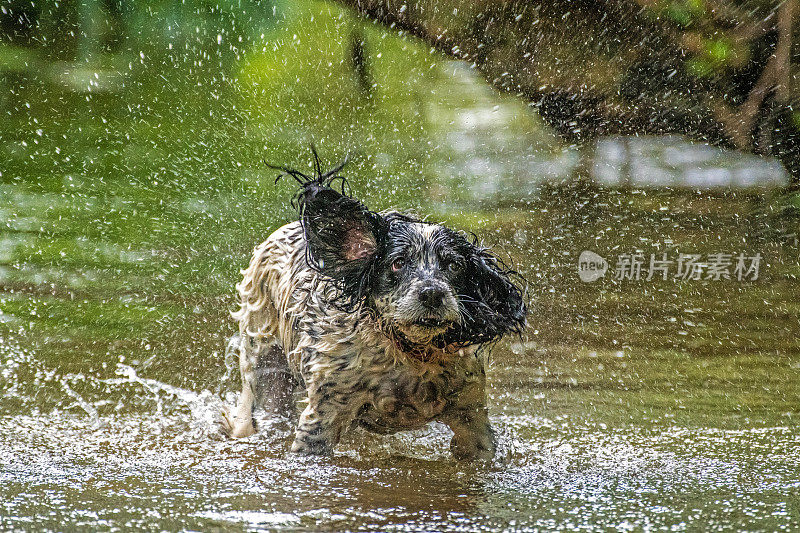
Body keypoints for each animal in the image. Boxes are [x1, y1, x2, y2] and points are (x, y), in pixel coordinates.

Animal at [222, 152, 528, 460]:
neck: (411, 355)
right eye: (398, 262)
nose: (432, 293)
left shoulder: (471, 415)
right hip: (263, 369)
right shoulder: (323, 416)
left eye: (454, 265)